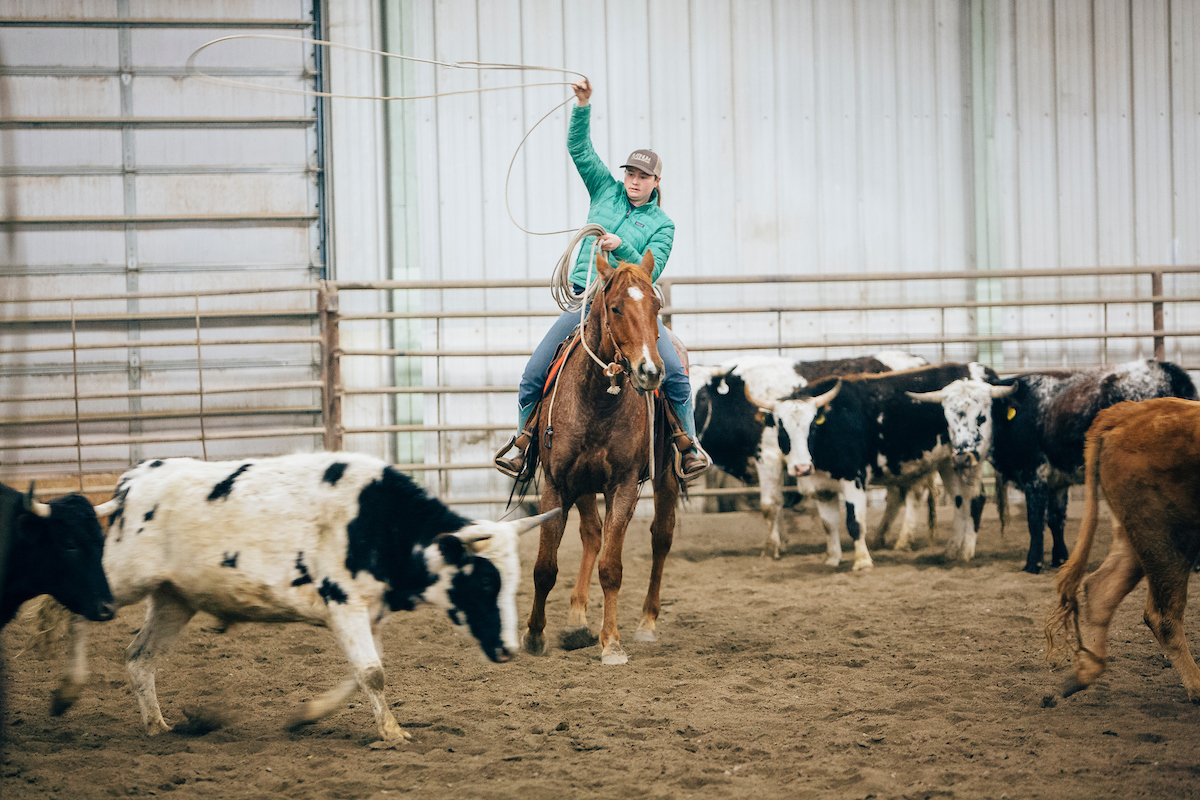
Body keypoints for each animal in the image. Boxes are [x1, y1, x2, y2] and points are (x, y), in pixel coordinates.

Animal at [520, 248, 681, 662]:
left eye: (656, 305)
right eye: (615, 307)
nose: (649, 370)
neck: (597, 399)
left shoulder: (622, 486)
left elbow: (612, 568)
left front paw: (611, 643)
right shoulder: (556, 484)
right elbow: (545, 567)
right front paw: (534, 635)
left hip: (665, 478)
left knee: (661, 538)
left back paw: (646, 622)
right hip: (582, 484)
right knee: (591, 534)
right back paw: (576, 621)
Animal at [1046, 398, 1200, 700]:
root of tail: (1128, 412)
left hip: (1136, 534)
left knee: (1102, 587)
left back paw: (1085, 671)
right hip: (1166, 536)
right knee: (1164, 615)